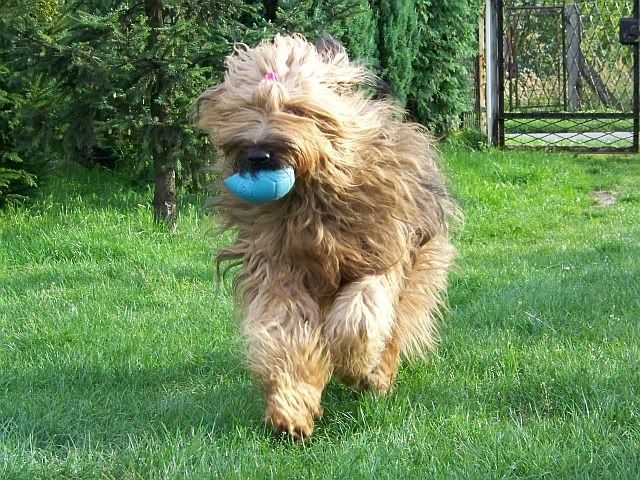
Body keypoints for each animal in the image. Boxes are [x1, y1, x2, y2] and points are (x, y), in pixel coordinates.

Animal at [195, 35, 456, 439]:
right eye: (247, 107)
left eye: (296, 110)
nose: (258, 155)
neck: (313, 200)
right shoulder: (277, 266)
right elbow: (284, 330)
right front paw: (290, 406)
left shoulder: (382, 249)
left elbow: (362, 314)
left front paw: (353, 364)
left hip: (422, 265)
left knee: (396, 324)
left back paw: (378, 376)